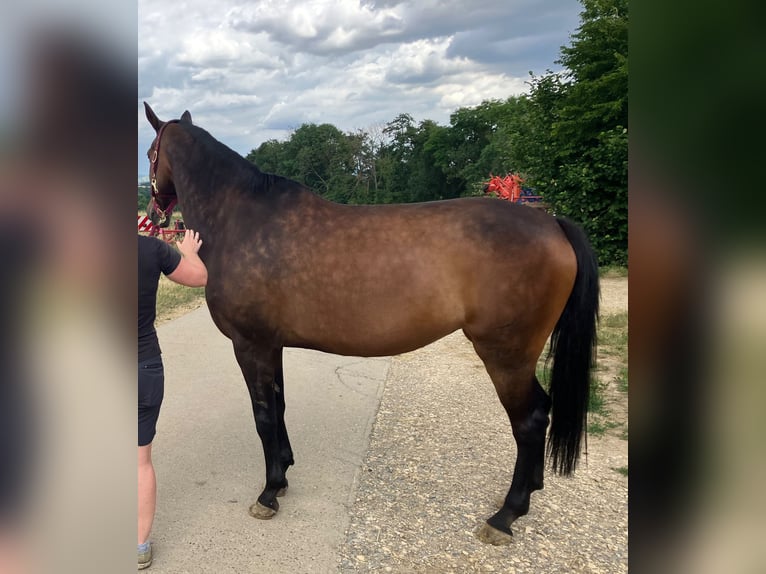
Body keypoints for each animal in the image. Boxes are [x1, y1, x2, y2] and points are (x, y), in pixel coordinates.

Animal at [143, 103, 599, 545]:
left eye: (149, 154)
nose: (153, 213)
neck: (242, 220)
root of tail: (551, 223)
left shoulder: (249, 344)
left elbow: (264, 416)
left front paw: (269, 492)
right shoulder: (272, 345)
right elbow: (280, 405)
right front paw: (285, 472)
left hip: (507, 355)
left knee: (530, 420)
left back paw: (506, 515)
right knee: (540, 413)